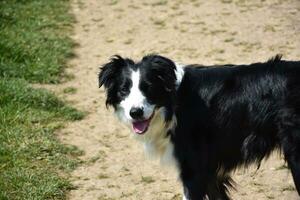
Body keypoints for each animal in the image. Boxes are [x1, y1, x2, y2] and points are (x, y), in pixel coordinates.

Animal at [98, 54, 300, 199]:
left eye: (148, 88)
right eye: (124, 90)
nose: (136, 112)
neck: (174, 105)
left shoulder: (193, 171)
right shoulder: (210, 173)